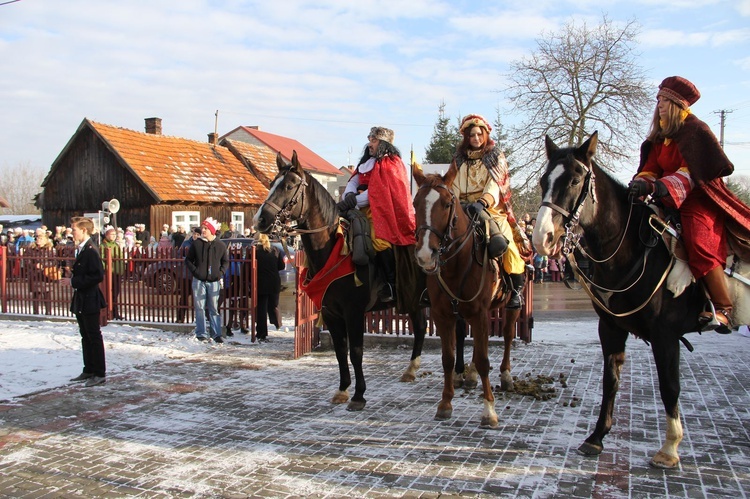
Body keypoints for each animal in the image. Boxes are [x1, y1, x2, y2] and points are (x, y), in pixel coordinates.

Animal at [254, 151, 428, 410]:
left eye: (288, 186)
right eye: (271, 184)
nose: (260, 220)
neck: (332, 249)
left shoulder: (353, 312)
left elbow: (355, 352)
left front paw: (358, 395)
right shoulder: (331, 313)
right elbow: (339, 351)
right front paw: (343, 390)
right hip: (413, 297)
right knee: (420, 327)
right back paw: (411, 370)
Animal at [412, 162, 524, 428]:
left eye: (446, 203)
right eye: (415, 203)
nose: (425, 255)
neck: (457, 264)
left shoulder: (480, 313)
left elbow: (484, 359)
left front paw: (489, 410)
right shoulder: (443, 316)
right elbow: (448, 358)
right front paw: (445, 403)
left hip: (509, 307)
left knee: (506, 335)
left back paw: (505, 375)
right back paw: (470, 375)